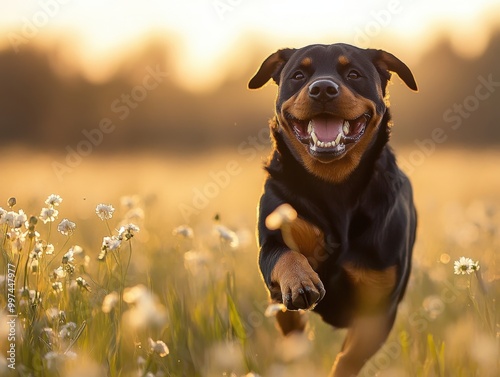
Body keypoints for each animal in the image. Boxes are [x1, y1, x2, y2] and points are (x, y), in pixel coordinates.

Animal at [249, 42, 418, 374]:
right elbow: (285, 256)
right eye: (298, 75)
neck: (335, 185)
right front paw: (300, 281)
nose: (323, 89)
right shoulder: (274, 240)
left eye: (353, 74)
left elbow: (348, 360)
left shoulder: (379, 307)